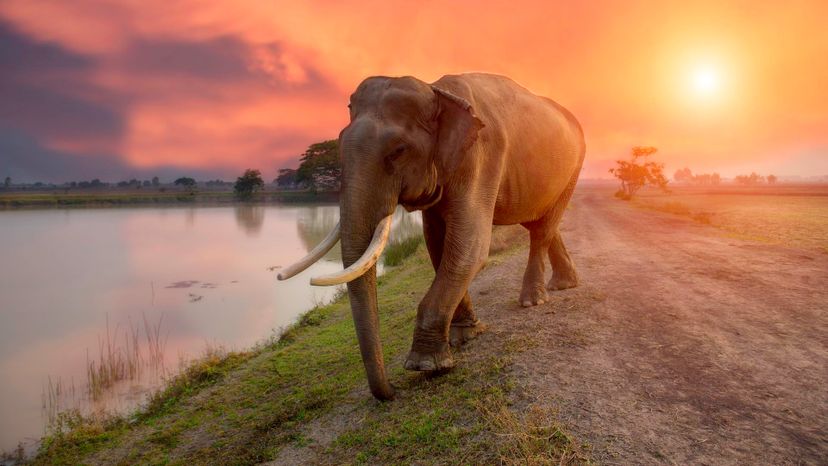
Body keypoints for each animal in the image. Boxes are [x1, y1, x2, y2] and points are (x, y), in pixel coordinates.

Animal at [279, 73, 585, 400]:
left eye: (398, 151)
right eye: (339, 144)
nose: (392, 390)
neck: (437, 91)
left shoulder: (481, 156)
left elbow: (470, 247)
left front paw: (427, 365)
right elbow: (438, 244)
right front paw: (465, 335)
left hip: (574, 166)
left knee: (542, 228)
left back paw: (533, 300)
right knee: (539, 221)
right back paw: (564, 284)